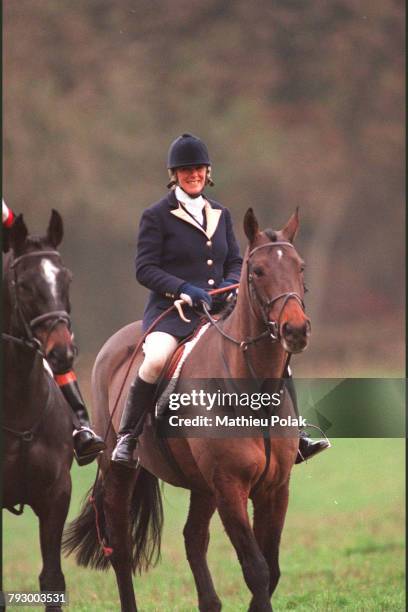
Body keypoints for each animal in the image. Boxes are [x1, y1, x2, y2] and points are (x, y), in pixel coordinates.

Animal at [64, 208, 310, 608]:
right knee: (121, 548)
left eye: (299, 267)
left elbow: (271, 569)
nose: (296, 330)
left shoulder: (275, 488)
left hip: (202, 486)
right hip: (119, 472)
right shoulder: (230, 488)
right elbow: (256, 569)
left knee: (193, 538)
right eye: (258, 271)